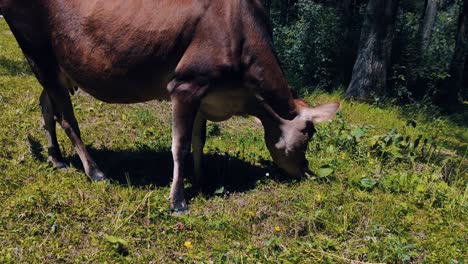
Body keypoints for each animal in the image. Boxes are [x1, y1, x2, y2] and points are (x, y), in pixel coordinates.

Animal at [1, 0, 342, 213]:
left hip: (57, 67)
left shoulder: (206, 93)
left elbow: (199, 140)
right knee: (67, 117)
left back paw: (56, 159)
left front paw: (202, 179)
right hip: (37, 50)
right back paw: (95, 171)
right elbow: (179, 145)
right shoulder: (185, 84)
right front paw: (177, 201)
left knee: (46, 105)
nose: (305, 170)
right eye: (309, 133)